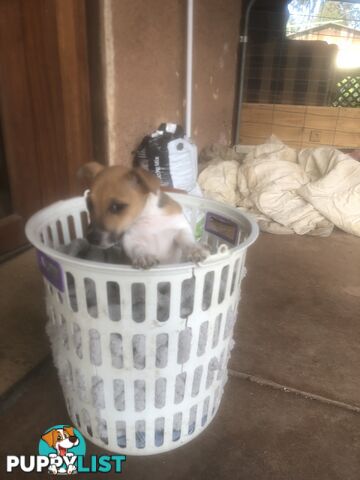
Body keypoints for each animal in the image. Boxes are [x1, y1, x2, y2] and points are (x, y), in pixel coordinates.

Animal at [77, 160, 210, 266]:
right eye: (89, 204)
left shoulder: (180, 229)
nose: (90, 238)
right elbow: (138, 249)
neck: (146, 217)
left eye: (116, 207)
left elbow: (187, 240)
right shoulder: (130, 241)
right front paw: (144, 256)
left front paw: (195, 250)